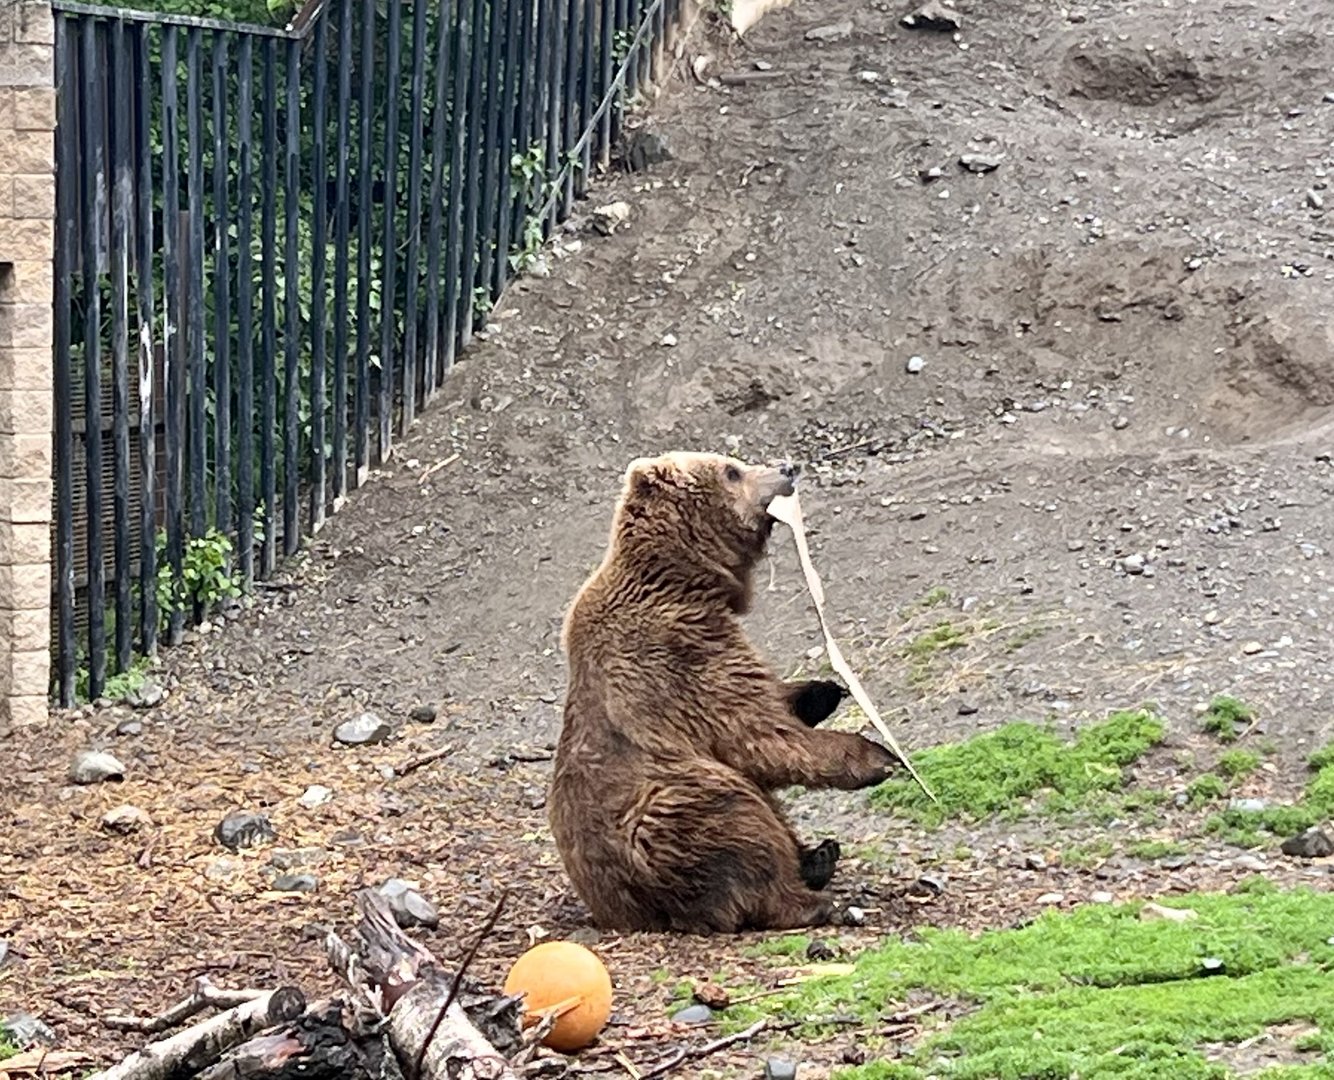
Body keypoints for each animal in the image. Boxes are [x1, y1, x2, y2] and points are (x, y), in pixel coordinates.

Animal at [547, 451, 899, 933]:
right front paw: (876, 756)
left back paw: (817, 855)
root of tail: (626, 915)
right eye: (733, 470)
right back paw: (818, 897)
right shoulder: (681, 656)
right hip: (669, 810)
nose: (787, 468)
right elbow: (760, 735)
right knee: (738, 823)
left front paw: (822, 690)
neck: (685, 580)